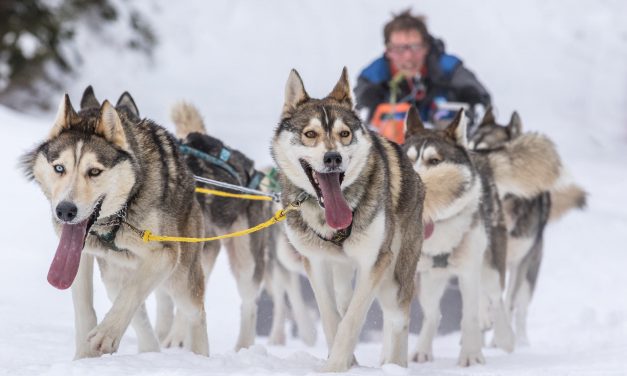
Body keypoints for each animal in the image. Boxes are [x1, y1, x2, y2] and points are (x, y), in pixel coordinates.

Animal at [21, 87, 209, 358]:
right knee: (136, 309)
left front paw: (106, 334)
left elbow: (132, 291)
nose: (65, 211)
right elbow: (84, 308)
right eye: (59, 168)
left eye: (94, 172)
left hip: (180, 280)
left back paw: (199, 356)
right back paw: (149, 350)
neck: (119, 217)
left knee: (195, 313)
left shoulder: (165, 254)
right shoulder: (79, 255)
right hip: (114, 277)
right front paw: (84, 357)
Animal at [472, 108, 588, 344]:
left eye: (486, 152)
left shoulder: (520, 261)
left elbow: (509, 303)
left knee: (521, 309)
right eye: (466, 146)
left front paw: (501, 339)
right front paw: (484, 319)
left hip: (530, 271)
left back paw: (521, 341)